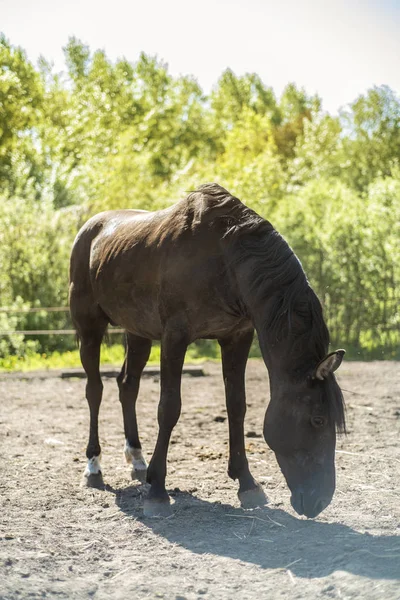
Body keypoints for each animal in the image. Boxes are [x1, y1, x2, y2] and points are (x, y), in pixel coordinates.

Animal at [69, 184, 344, 520]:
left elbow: (236, 406)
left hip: (138, 333)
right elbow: (169, 408)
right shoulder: (175, 338)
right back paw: (94, 467)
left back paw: (137, 458)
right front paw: (158, 491)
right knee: (94, 390)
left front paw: (247, 483)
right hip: (89, 328)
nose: (321, 500)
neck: (226, 263)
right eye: (318, 420)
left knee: (127, 386)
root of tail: (90, 229)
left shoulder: (237, 337)